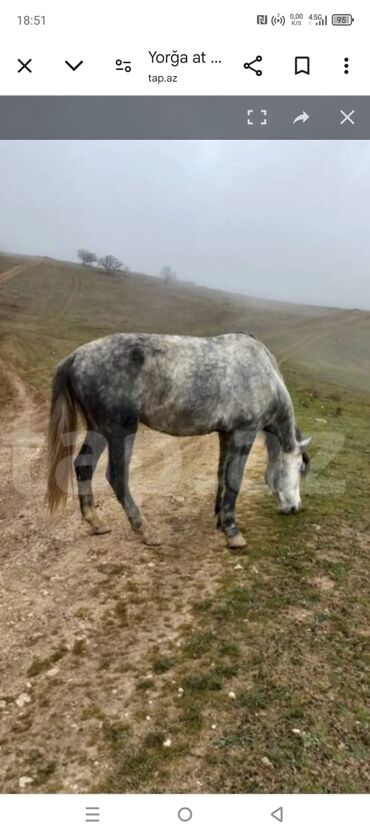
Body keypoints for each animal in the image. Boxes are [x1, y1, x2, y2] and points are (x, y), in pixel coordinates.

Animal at [47, 334, 312, 548]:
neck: (263, 373)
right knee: (117, 477)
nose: (295, 508)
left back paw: (96, 522)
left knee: (83, 466)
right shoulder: (243, 433)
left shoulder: (226, 434)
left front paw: (219, 520)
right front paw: (232, 532)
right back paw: (145, 530)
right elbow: (234, 479)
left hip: (98, 429)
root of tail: (77, 357)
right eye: (300, 468)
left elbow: (222, 475)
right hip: (119, 431)